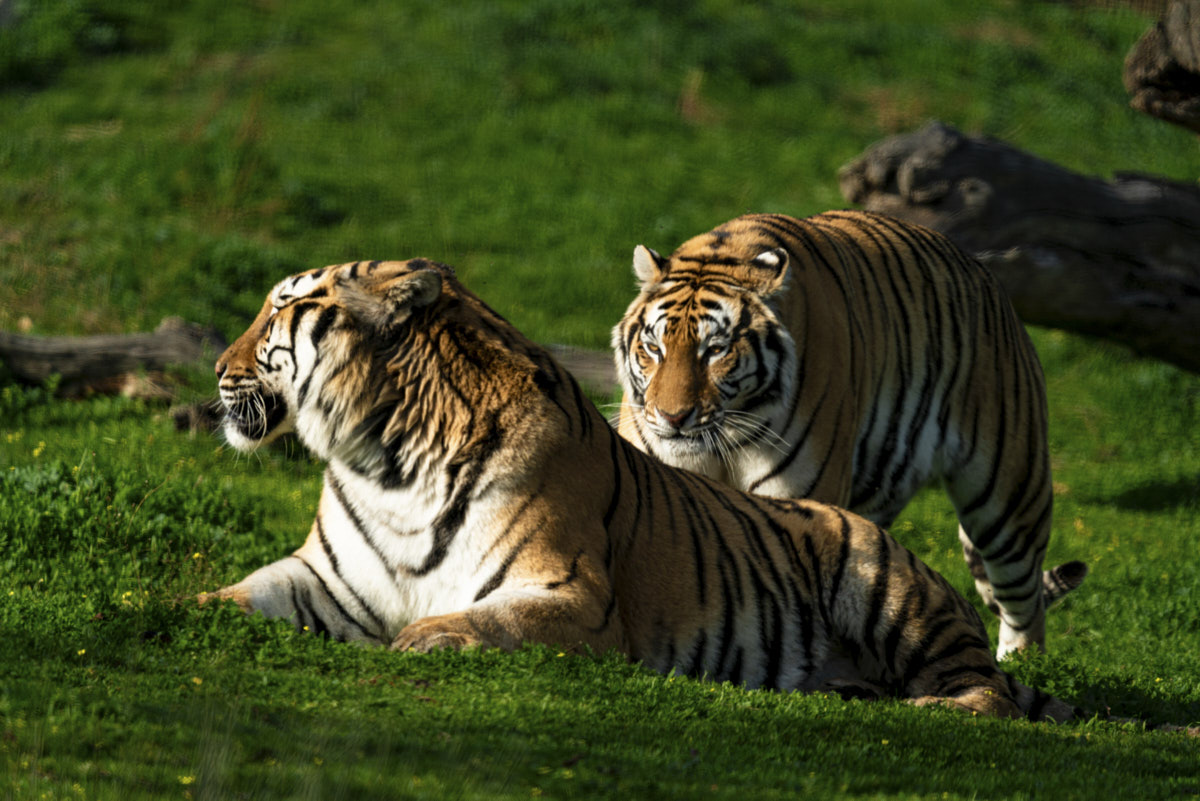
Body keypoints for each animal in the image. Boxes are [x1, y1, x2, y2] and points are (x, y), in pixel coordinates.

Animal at [203, 257, 1084, 723]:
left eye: (281, 308)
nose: (216, 367)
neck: (385, 460)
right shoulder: (328, 580)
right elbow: (231, 596)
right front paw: (172, 611)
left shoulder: (574, 597)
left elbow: (482, 623)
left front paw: (424, 638)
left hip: (888, 585)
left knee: (987, 687)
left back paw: (930, 707)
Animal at [612, 211, 1087, 661]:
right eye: (654, 348)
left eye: (715, 350)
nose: (673, 417)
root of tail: (983, 274)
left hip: (1008, 493)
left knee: (1024, 598)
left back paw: (1021, 663)